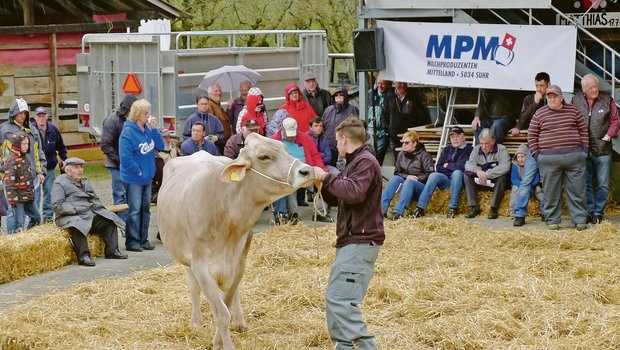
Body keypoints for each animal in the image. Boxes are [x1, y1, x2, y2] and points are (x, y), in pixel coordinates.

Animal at [155, 132, 314, 350]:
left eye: (284, 148)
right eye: (264, 157)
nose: (307, 170)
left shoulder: (239, 262)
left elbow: (227, 304)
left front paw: (220, 339)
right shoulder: (201, 267)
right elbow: (221, 313)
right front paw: (222, 343)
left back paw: (239, 321)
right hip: (185, 258)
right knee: (193, 285)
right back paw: (196, 321)